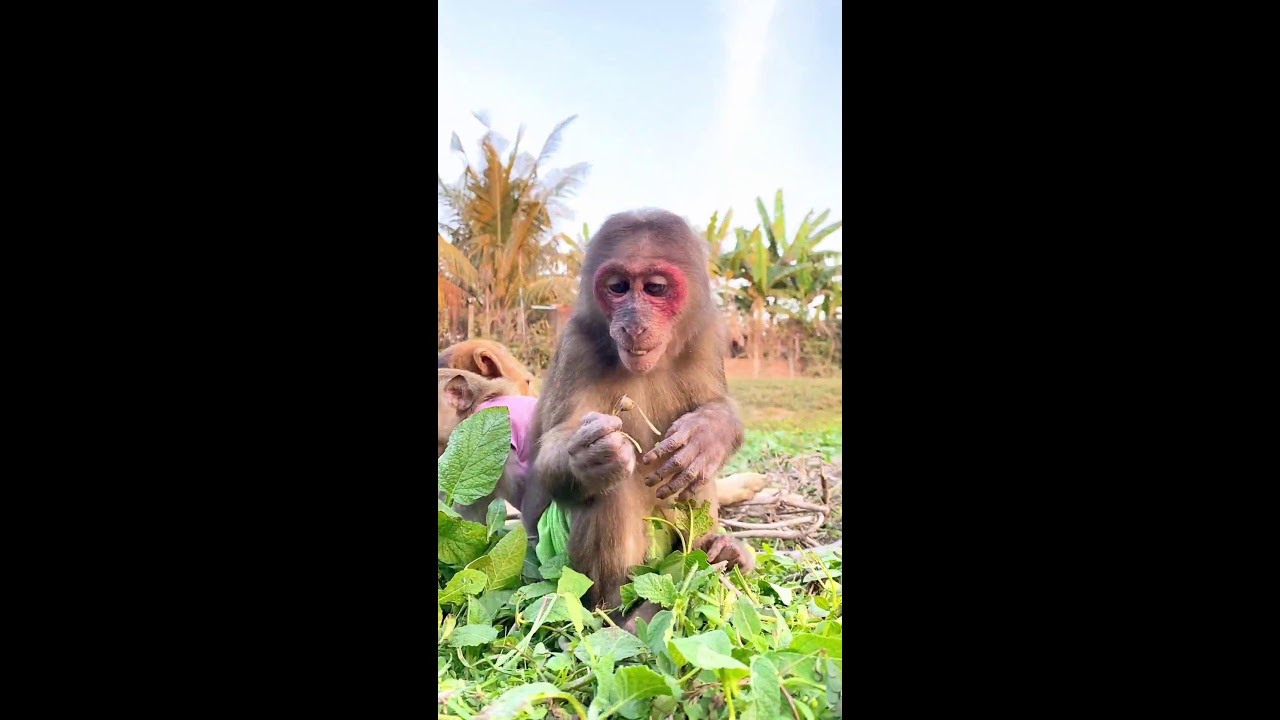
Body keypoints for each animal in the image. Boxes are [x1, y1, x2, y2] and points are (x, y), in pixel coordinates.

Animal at [527, 208, 754, 617]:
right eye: (618, 287)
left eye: (655, 289)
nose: (633, 323)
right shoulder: (576, 345)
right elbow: (553, 453)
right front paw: (589, 457)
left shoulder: (706, 337)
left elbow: (716, 409)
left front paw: (708, 433)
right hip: (555, 552)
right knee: (611, 489)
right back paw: (623, 611)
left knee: (693, 477)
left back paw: (714, 555)